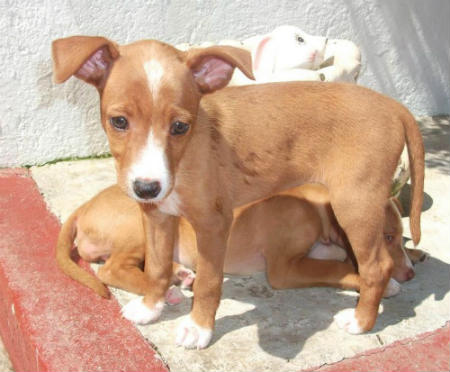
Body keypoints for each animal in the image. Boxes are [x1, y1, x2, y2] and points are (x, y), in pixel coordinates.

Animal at [52, 36, 426, 348]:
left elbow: (208, 282)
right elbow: (156, 267)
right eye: (119, 122)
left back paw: (362, 321)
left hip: (354, 203)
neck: (187, 156)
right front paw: (150, 307)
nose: (146, 187)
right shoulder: (156, 217)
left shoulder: (214, 224)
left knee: (376, 266)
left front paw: (198, 329)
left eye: (180, 126)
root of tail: (392, 105)